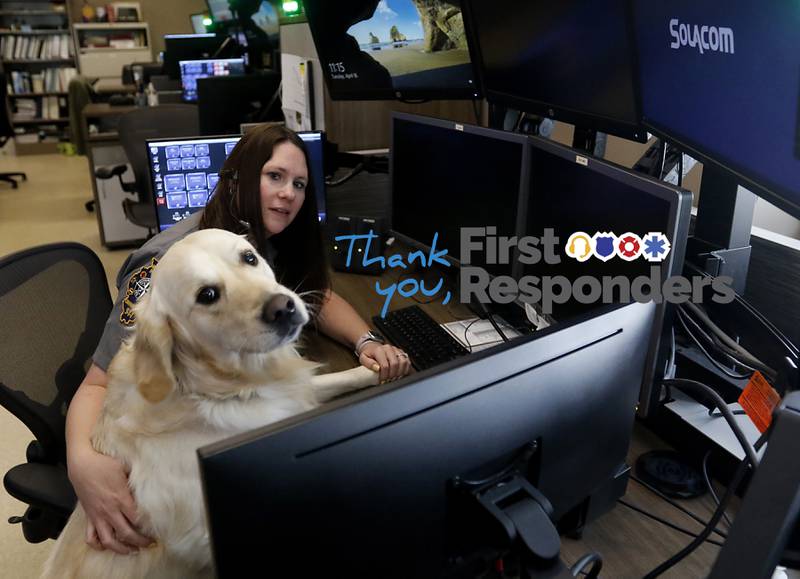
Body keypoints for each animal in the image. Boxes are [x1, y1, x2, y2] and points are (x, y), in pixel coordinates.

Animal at [42, 229, 380, 576]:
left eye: (249, 257)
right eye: (207, 295)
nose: (282, 307)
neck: (220, 389)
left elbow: (335, 380)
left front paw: (378, 367)